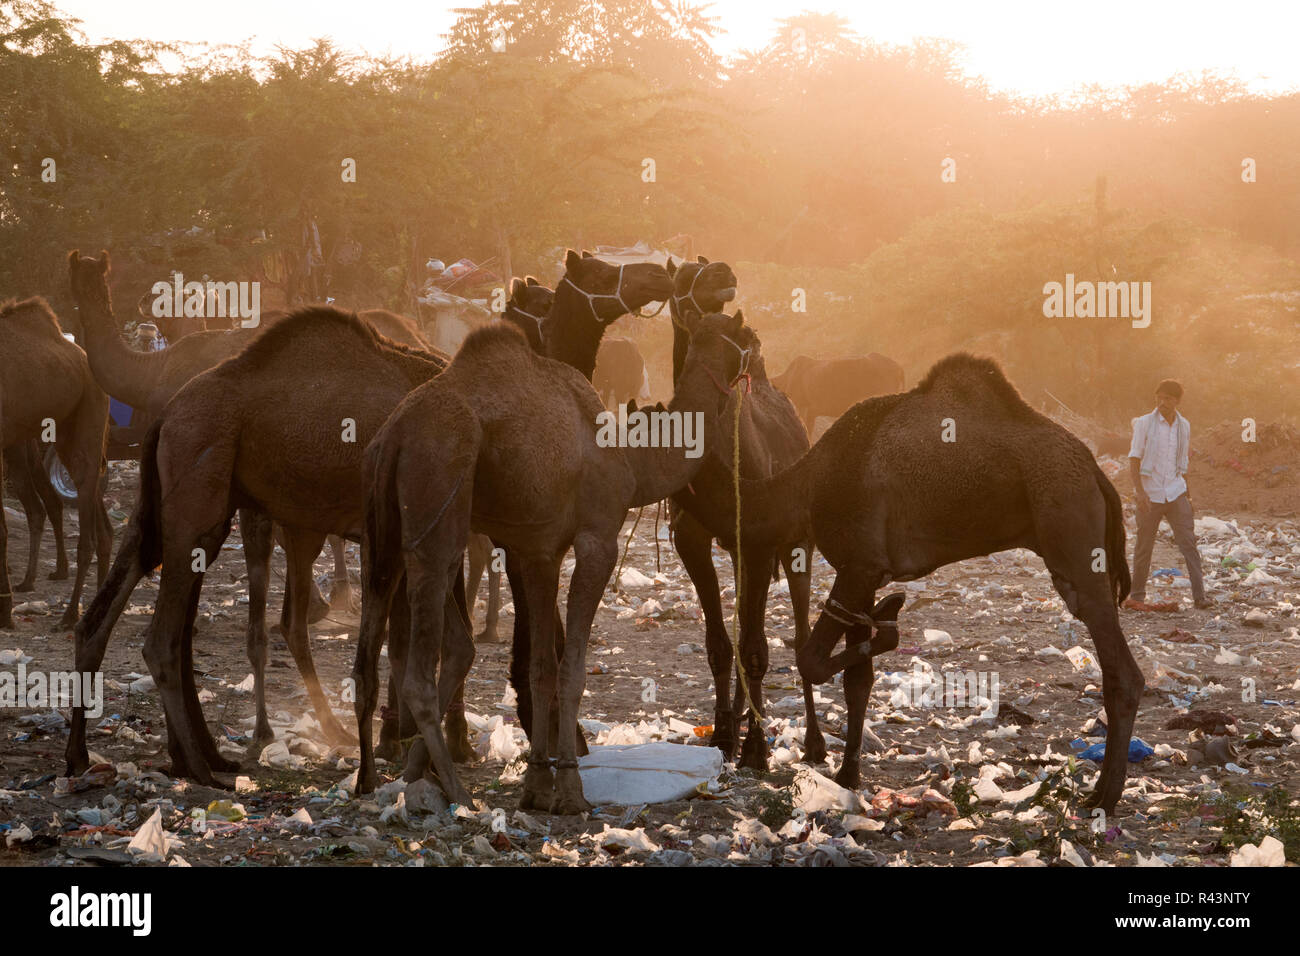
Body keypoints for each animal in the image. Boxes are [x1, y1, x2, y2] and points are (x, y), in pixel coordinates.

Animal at [353, 310, 754, 811]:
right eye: (746, 336)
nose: (759, 355)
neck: (631, 461)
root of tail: (396, 435)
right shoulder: (597, 537)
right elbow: (572, 668)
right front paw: (569, 788)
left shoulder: (539, 551)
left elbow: (541, 667)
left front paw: (537, 784)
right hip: (438, 490)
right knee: (423, 663)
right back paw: (458, 793)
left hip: (378, 521)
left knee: (372, 643)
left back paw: (377, 780)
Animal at [665, 260, 816, 770]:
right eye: (683, 274)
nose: (721, 270)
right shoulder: (692, 538)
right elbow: (720, 644)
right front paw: (723, 736)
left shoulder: (762, 540)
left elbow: (755, 646)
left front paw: (754, 749)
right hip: (737, 547)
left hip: (795, 544)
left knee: (799, 630)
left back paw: (813, 742)